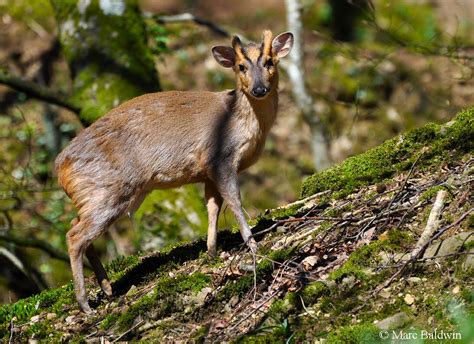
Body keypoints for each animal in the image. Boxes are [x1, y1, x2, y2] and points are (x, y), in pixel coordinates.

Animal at [54, 30, 292, 314]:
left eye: (269, 61)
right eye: (240, 66)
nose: (259, 89)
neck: (246, 126)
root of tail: (59, 167)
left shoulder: (206, 171)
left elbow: (212, 207)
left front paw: (211, 251)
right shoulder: (220, 158)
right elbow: (234, 202)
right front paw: (252, 244)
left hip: (102, 195)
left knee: (76, 226)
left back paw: (108, 288)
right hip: (107, 191)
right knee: (74, 235)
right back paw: (85, 304)